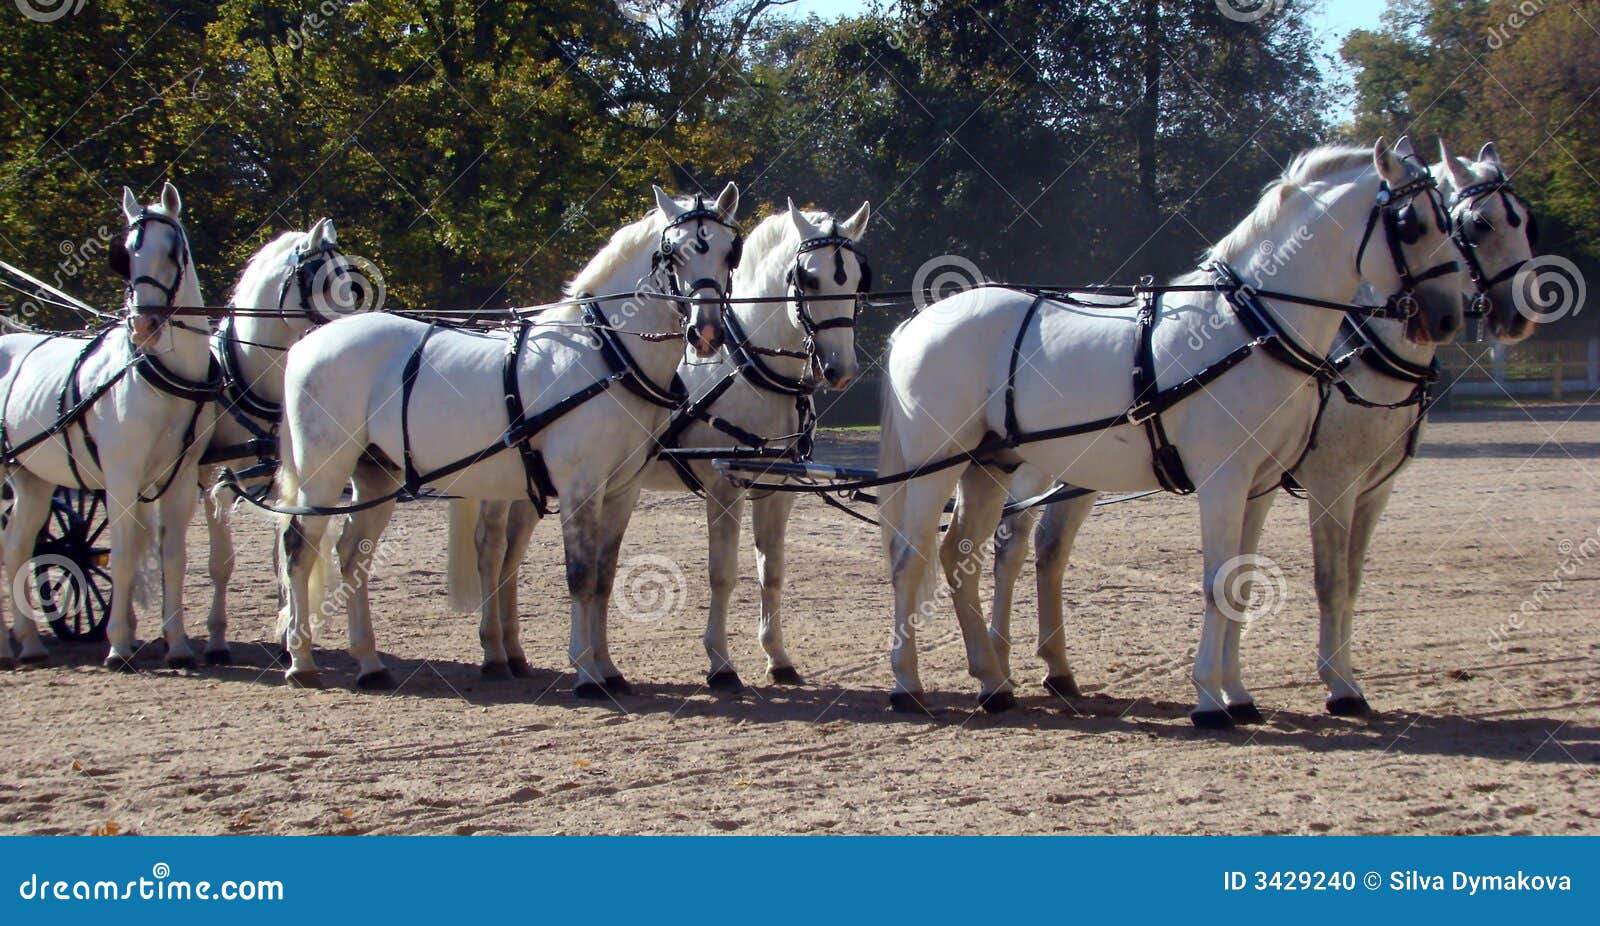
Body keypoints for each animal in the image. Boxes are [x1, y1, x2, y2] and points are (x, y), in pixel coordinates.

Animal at [0, 183, 223, 671]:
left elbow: (174, 558)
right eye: (127, 254)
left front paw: (178, 645)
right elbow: (121, 556)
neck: (162, 375)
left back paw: (29, 642)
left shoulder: (181, 479)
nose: (145, 324)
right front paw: (119, 645)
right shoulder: (121, 478)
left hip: (32, 478)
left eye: (174, 250)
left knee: (17, 546)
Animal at [197, 217, 361, 665]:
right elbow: (221, 562)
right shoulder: (212, 481)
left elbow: (280, 559)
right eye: (323, 283)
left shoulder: (276, 481)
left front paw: (288, 635)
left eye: (351, 285)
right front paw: (216, 639)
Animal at [271, 183, 741, 694]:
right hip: (323, 472)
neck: (605, 352)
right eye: (672, 252)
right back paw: (301, 660)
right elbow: (580, 576)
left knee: (353, 556)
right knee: (299, 548)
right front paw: (585, 672)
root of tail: (310, 342)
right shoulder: (579, 487)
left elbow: (604, 576)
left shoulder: (622, 489)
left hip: (377, 472)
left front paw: (608, 668)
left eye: (728, 252)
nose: (707, 331)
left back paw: (369, 663)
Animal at [451, 199, 871, 691]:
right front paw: (720, 663)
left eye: (857, 280)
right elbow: (722, 574)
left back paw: (515, 652)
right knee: (492, 551)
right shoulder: (724, 486)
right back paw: (493, 651)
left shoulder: (776, 488)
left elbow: (772, 573)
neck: (745, 365)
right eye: (808, 278)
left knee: (513, 554)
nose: (840, 369)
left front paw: (778, 658)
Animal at [876, 137, 1471, 728]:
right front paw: (1210, 699)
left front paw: (1239, 695)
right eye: (1411, 223)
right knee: (910, 559)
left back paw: (993, 683)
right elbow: (1219, 582)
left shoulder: (1260, 485)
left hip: (989, 465)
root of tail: (917, 323)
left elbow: (1242, 583)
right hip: (937, 466)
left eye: (1450, 220)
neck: (1251, 326)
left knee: (960, 559)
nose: (1448, 318)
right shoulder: (1230, 479)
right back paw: (907, 684)